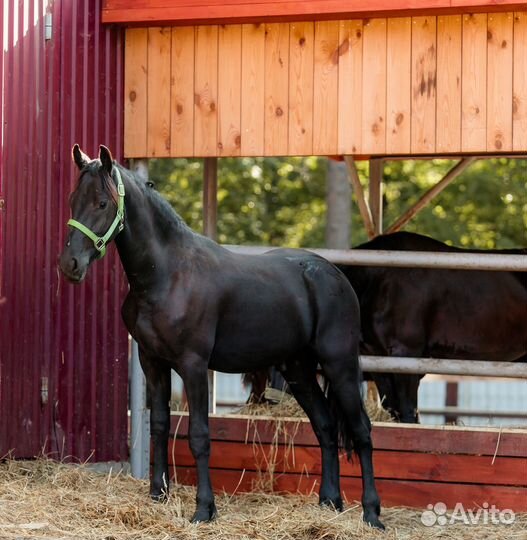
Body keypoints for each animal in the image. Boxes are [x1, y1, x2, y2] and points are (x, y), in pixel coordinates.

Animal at [58, 146, 384, 528]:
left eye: (101, 203)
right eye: (72, 200)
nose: (70, 264)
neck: (167, 274)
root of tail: (334, 275)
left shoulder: (194, 366)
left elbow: (199, 436)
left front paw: (204, 509)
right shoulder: (152, 362)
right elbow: (159, 425)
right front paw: (158, 495)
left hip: (340, 364)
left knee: (362, 431)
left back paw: (372, 513)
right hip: (299, 370)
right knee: (326, 426)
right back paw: (329, 502)